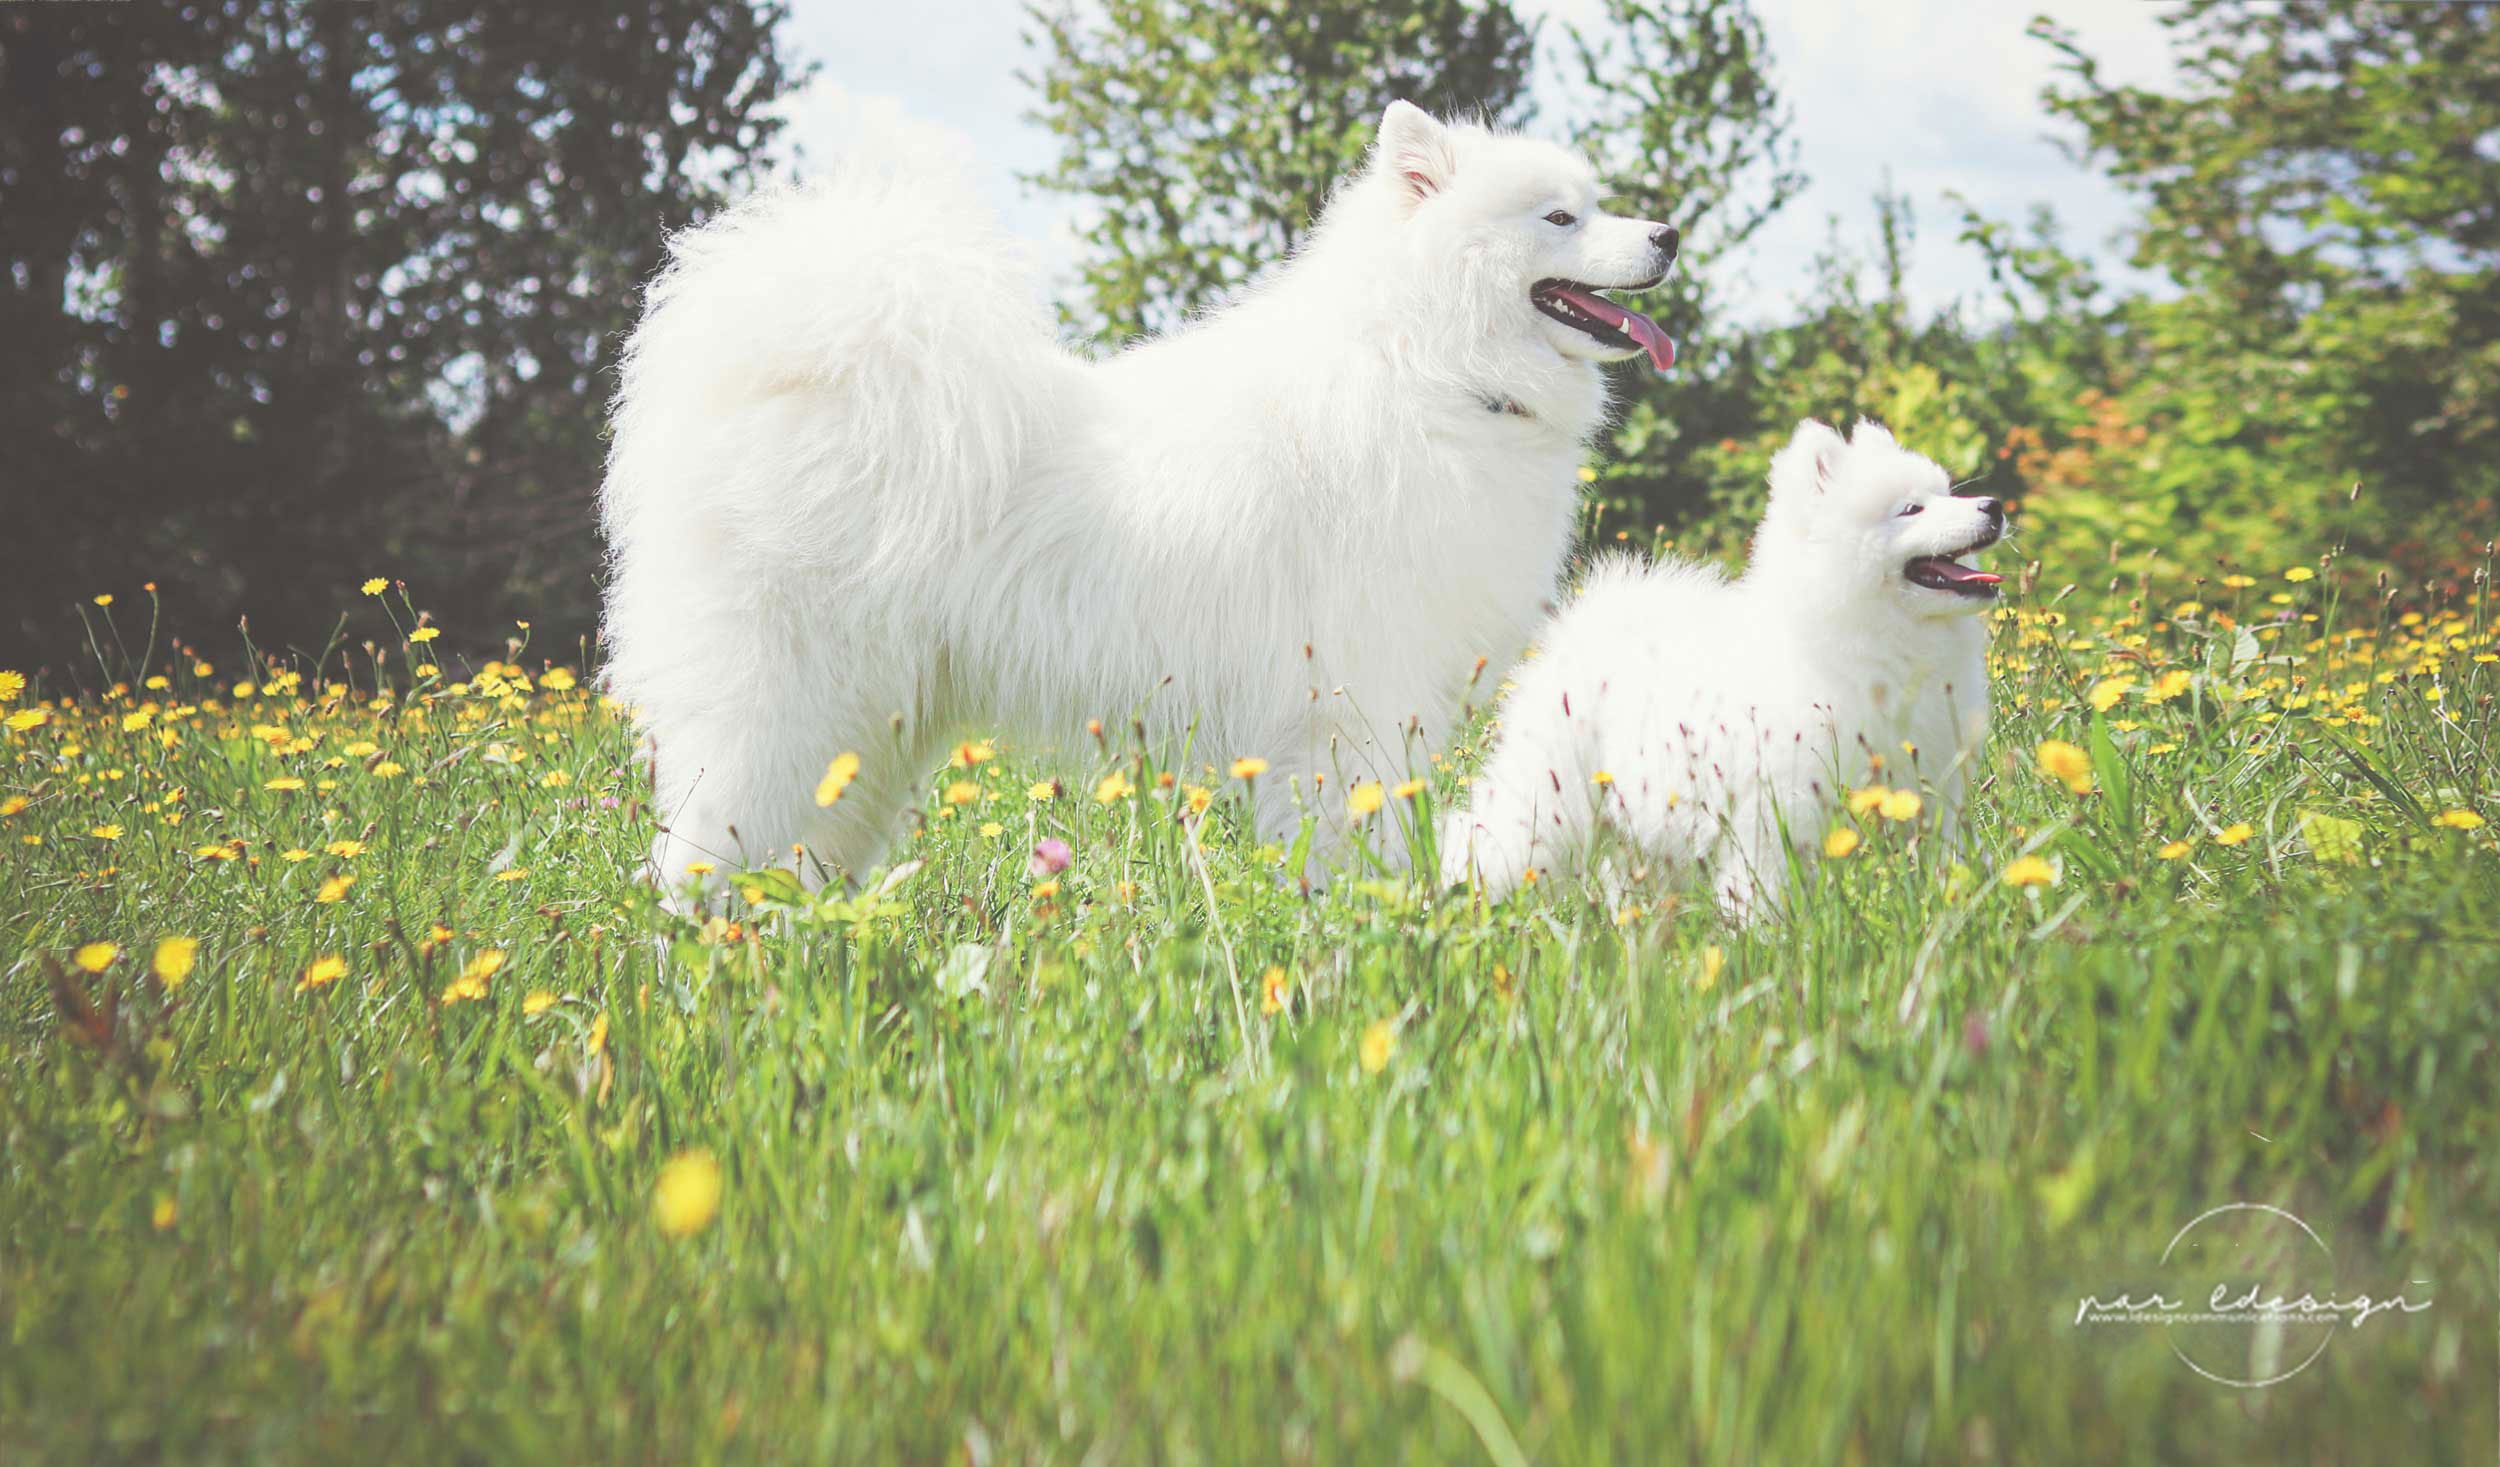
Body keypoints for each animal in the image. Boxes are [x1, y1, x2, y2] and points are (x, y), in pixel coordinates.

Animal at [595, 103, 1670, 889]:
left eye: (1597, 202)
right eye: (1559, 217)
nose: (1665, 232)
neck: (1432, 366)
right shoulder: (1351, 708)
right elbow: (1353, 852)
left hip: (869, 740)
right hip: (786, 711)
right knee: (694, 858)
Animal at [1440, 419, 2000, 919]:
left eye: (1946, 492)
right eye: (1911, 509)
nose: (1993, 506)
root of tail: (1592, 624)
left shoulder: (1930, 794)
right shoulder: (1779, 810)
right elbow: (1763, 892)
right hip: (1550, 796)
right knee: (1487, 836)